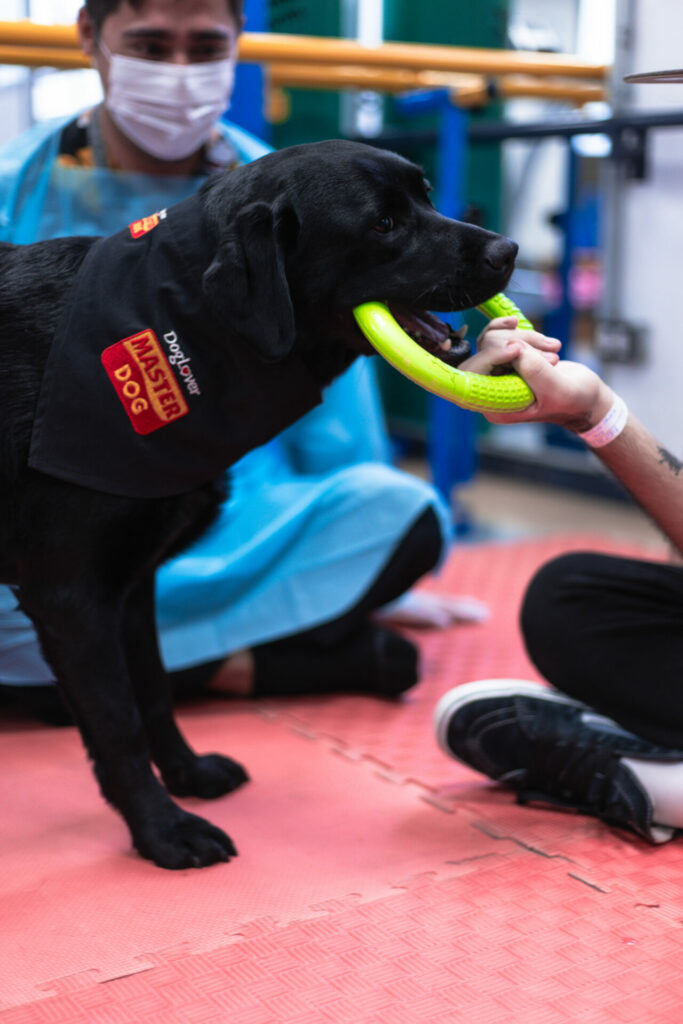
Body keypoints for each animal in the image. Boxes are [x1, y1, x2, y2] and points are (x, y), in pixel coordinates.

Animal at [0, 140, 516, 868]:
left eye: (426, 196)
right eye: (384, 224)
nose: (508, 250)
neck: (178, 328)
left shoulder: (132, 586)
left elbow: (153, 690)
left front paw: (187, 775)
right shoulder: (71, 598)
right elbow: (118, 722)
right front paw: (162, 831)